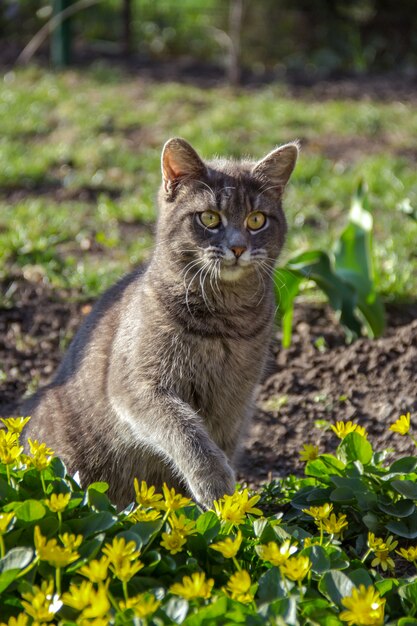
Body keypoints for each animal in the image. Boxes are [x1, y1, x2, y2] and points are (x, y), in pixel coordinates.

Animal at [22, 136, 298, 508]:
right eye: (209, 217)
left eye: (257, 220)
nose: (238, 248)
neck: (226, 318)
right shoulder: (138, 385)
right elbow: (184, 428)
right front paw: (214, 484)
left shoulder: (236, 402)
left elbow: (213, 438)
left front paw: (221, 510)